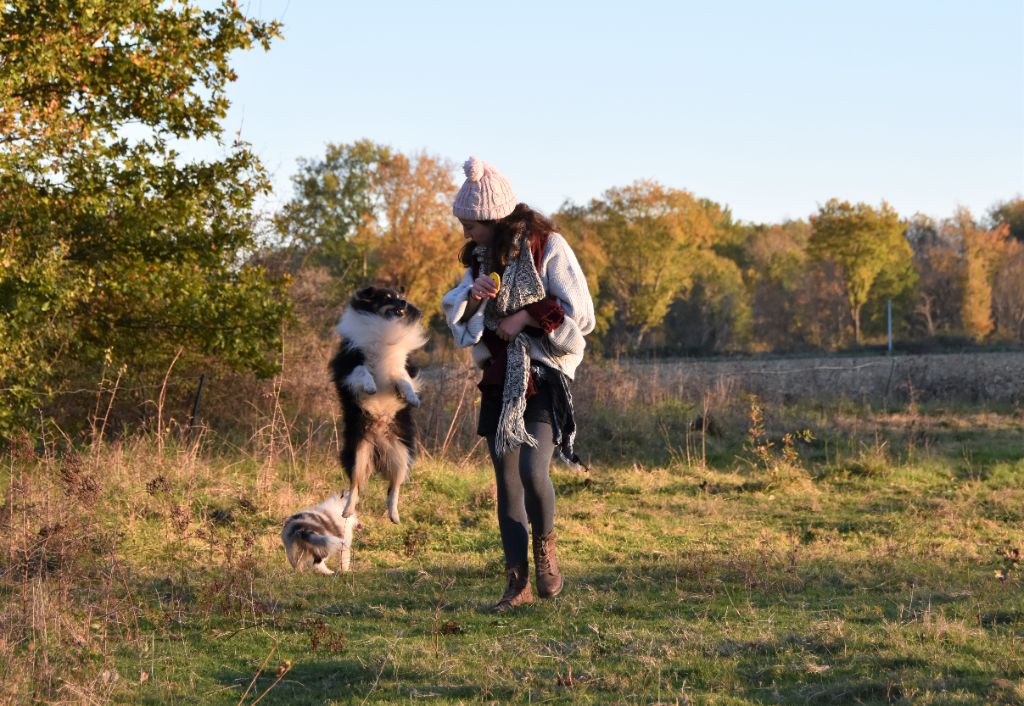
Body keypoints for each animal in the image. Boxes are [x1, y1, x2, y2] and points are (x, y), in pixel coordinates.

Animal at [327, 284, 423, 522]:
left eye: (400, 297)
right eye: (388, 297)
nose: (404, 303)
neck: (384, 328)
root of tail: (378, 448)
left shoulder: (399, 366)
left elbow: (404, 380)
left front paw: (412, 398)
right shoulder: (350, 363)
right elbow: (363, 372)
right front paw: (371, 387)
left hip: (402, 454)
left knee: (393, 488)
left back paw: (395, 516)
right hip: (357, 453)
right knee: (355, 485)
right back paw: (347, 511)